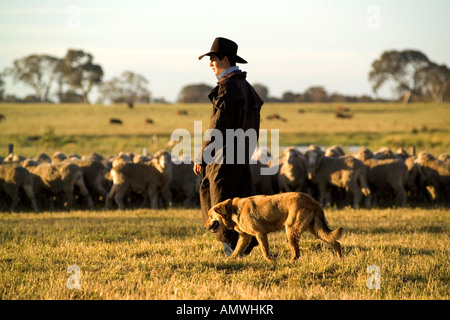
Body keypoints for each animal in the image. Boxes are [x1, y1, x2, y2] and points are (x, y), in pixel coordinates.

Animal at [206, 191, 342, 262]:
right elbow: (237, 250)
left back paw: (291, 261)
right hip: (316, 230)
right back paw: (340, 259)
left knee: (296, 253)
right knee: (335, 242)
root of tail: (314, 202)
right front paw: (231, 259)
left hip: (291, 230)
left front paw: (270, 261)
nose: (204, 227)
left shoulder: (260, 233)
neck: (234, 209)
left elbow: (264, 250)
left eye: (210, 216)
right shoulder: (245, 237)